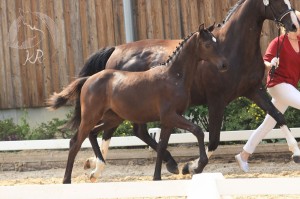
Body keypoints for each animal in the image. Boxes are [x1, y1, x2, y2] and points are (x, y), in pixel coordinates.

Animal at [47, 24, 227, 183]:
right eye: (208, 44)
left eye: (217, 42)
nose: (224, 65)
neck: (173, 76)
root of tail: (89, 79)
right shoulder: (171, 116)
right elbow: (198, 131)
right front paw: (198, 165)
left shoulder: (169, 120)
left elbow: (162, 146)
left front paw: (158, 176)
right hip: (91, 116)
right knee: (75, 142)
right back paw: (67, 180)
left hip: (114, 118)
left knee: (92, 134)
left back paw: (98, 164)